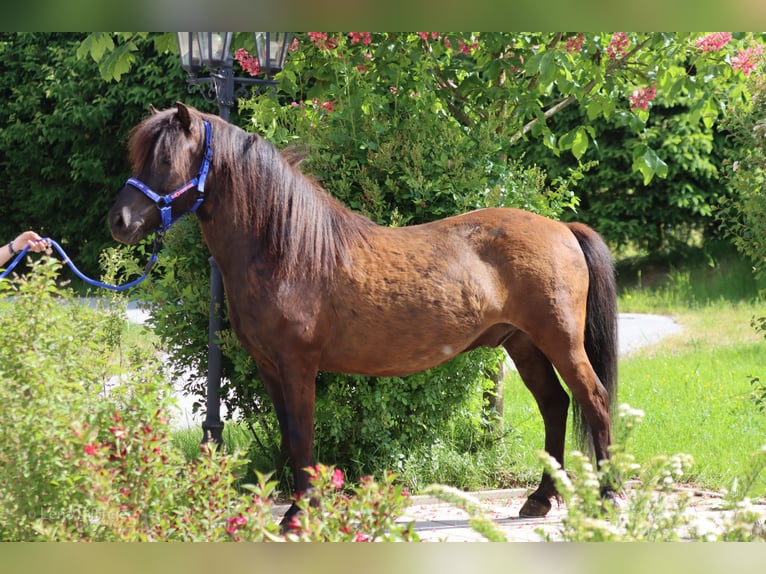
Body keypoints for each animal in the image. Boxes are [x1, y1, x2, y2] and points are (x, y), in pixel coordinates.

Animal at [108, 102, 620, 528]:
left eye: (166, 161)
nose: (119, 222)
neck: (287, 251)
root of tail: (562, 229)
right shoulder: (269, 366)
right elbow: (289, 435)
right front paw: (301, 507)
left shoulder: (298, 365)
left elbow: (301, 435)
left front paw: (300, 514)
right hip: (523, 344)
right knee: (554, 406)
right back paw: (539, 499)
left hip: (560, 342)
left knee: (593, 400)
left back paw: (609, 497)